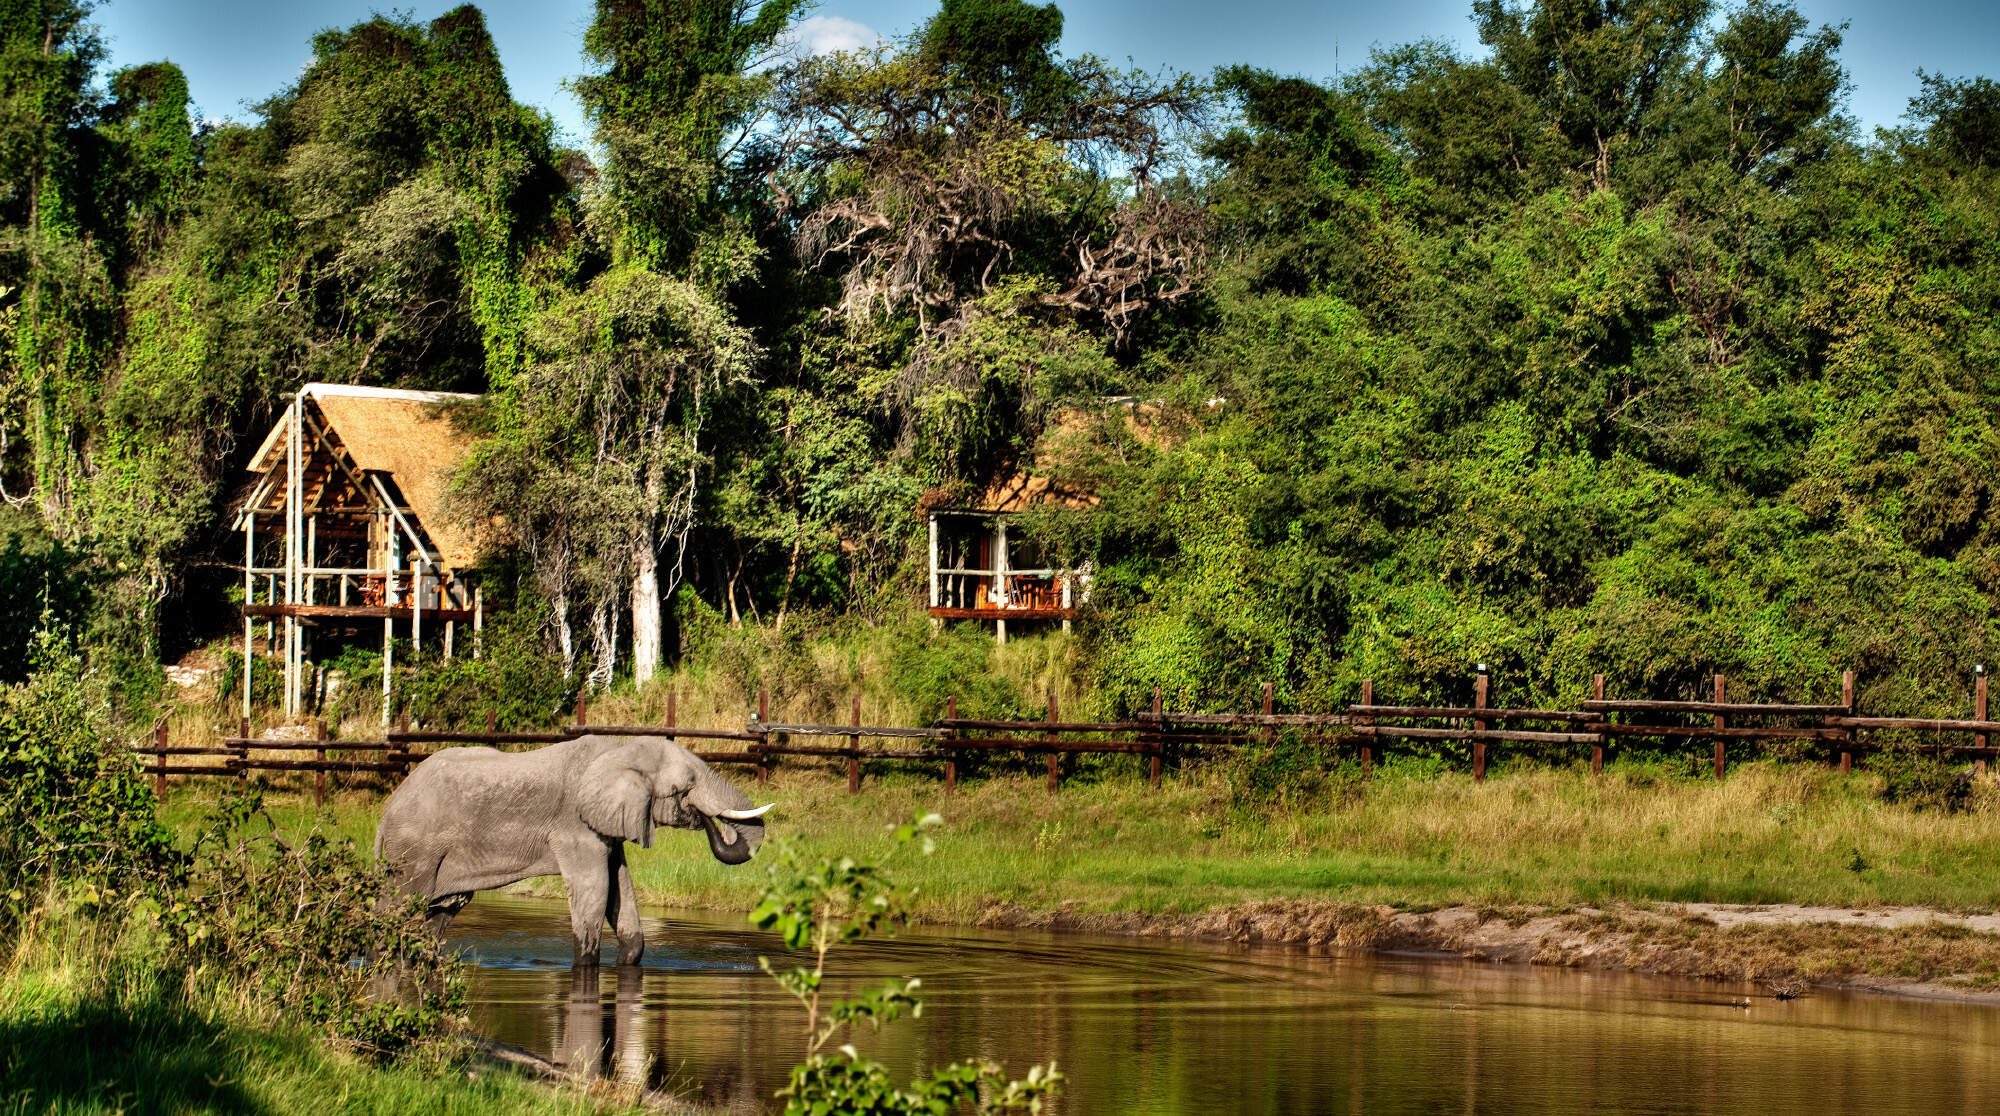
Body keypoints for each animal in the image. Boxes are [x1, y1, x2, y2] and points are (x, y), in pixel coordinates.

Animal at [376, 736, 772, 972]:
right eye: (686, 784)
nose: (705, 818)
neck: (619, 747)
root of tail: (387, 808)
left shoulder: (608, 829)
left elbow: (620, 891)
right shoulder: (575, 827)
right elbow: (595, 892)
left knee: (440, 912)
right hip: (412, 851)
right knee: (400, 907)